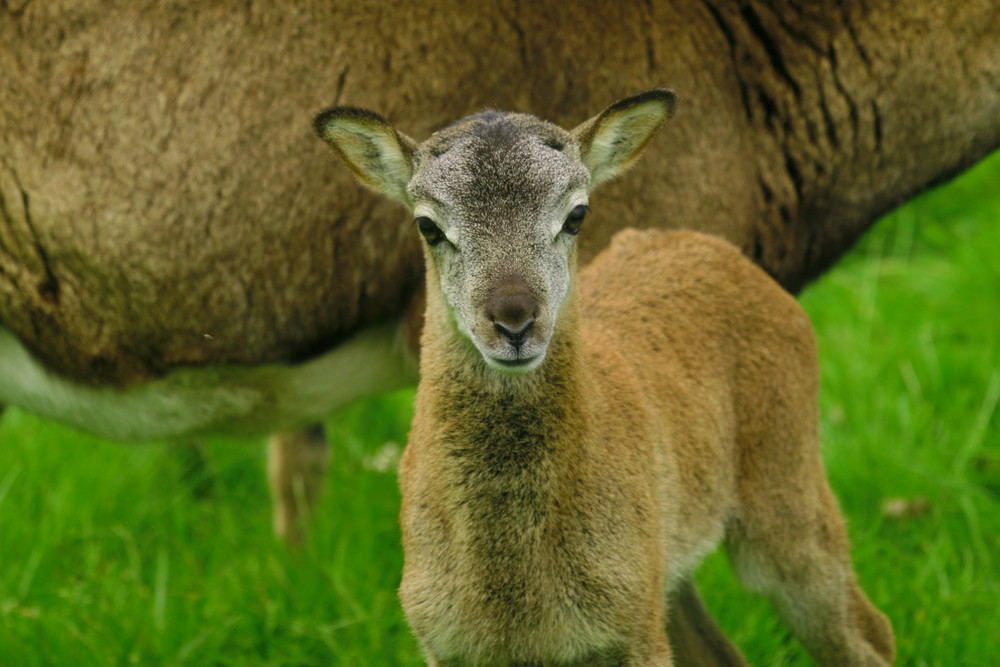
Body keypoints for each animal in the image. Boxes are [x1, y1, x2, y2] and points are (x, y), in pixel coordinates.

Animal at [316, 90, 896, 667]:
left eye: (576, 214)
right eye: (428, 226)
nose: (515, 321)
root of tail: (703, 243)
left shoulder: (633, 635)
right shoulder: (447, 642)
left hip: (786, 487)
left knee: (869, 631)